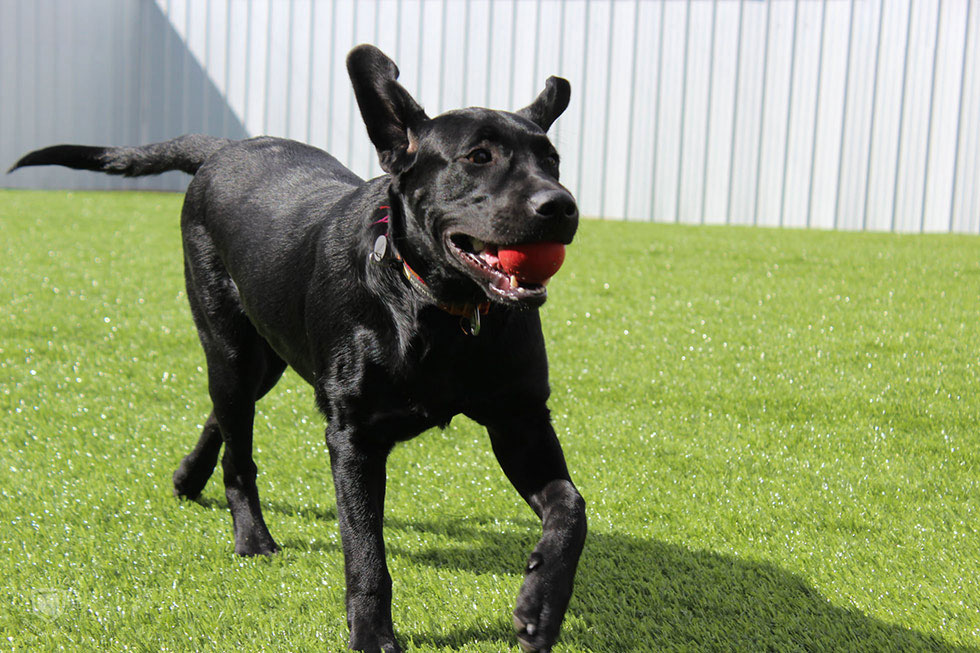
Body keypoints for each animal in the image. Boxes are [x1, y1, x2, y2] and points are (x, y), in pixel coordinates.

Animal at [11, 45, 584, 652]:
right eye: (478, 156)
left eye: (552, 160)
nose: (561, 206)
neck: (436, 308)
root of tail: (223, 147)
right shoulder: (353, 436)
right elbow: (364, 548)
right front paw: (372, 633)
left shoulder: (520, 420)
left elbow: (571, 510)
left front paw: (541, 606)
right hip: (231, 350)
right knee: (238, 454)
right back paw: (251, 538)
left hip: (268, 358)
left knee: (220, 418)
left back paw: (189, 477)